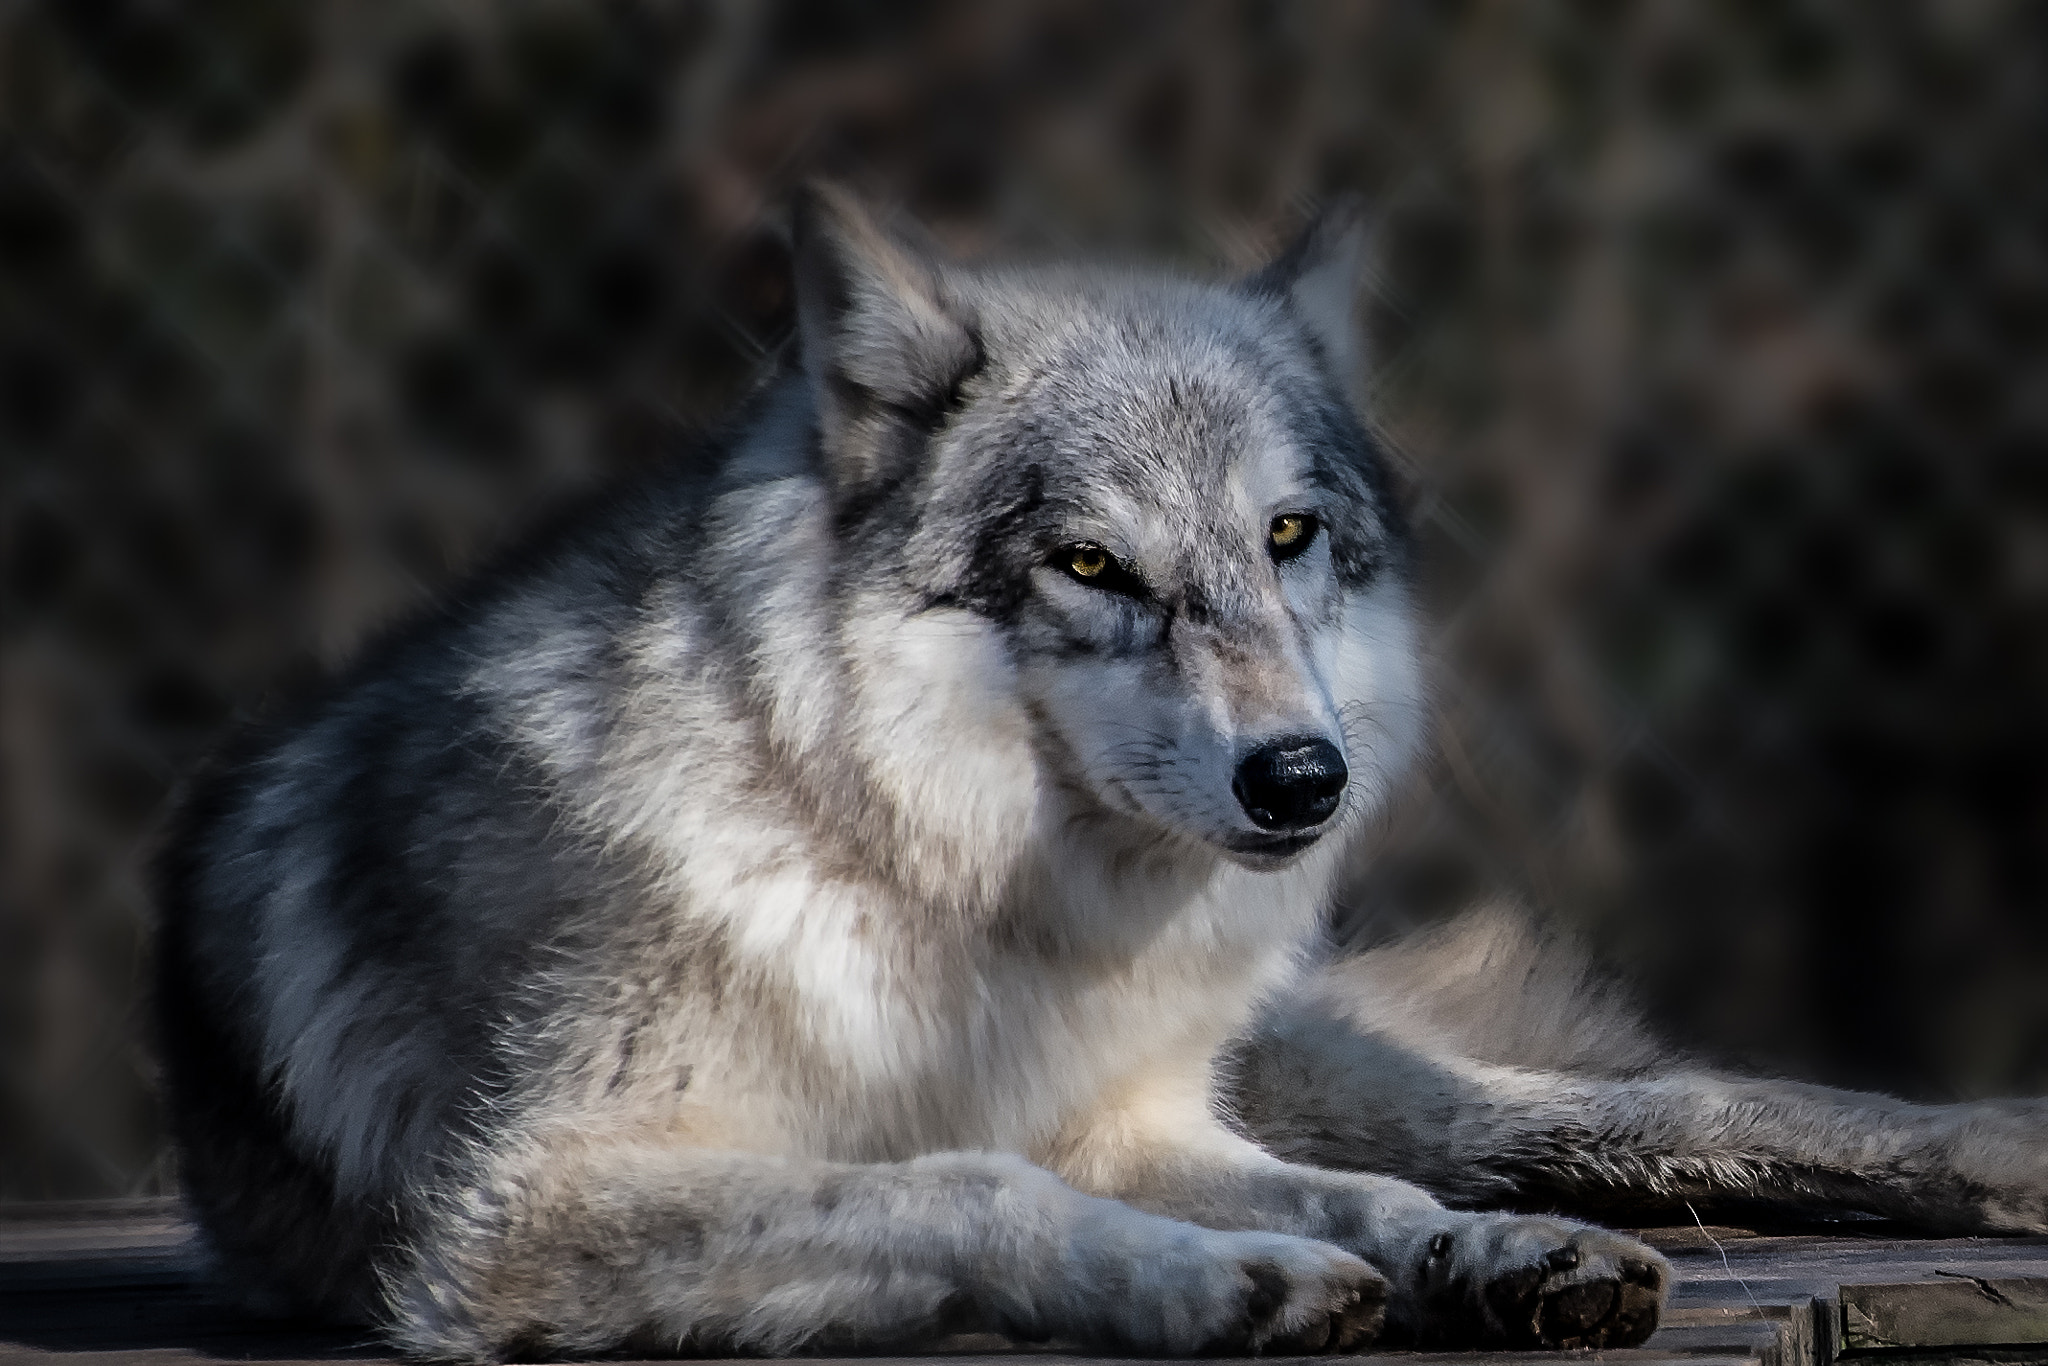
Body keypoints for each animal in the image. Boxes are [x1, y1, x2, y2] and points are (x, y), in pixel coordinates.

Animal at [155, 185, 2047, 1362]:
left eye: (1286, 537)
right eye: (1089, 566)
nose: (1301, 780)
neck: (947, 902)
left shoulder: (1138, 1116)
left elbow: (1374, 1201)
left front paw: (1476, 1261)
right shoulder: (527, 1209)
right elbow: (978, 1183)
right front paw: (1243, 1281)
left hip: (1331, 1065)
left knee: (1583, 1118)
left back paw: (1975, 1160)